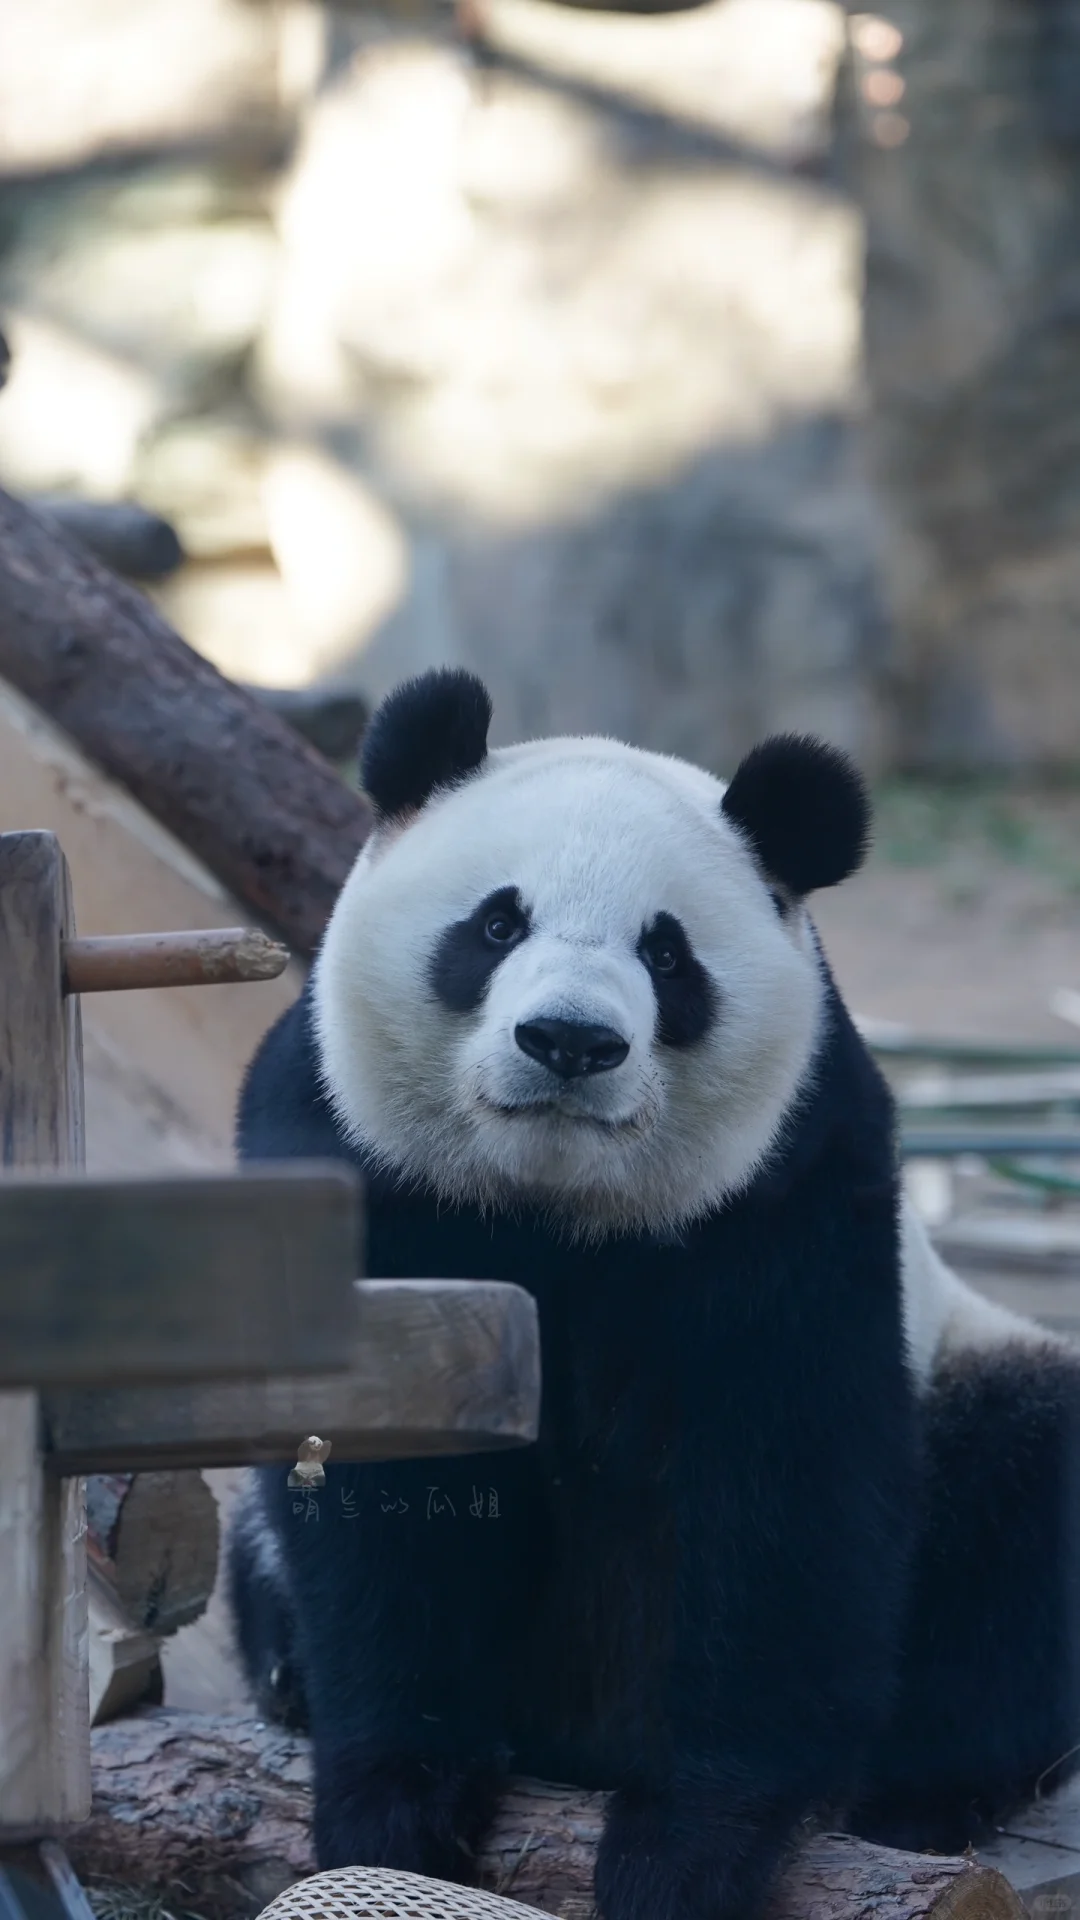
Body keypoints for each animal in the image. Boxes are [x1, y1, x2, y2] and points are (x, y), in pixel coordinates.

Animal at [224, 672, 1076, 1920]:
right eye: (497, 925)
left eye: (668, 956)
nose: (570, 1040)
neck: (554, 1200)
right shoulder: (343, 1142)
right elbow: (386, 1486)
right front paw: (398, 1807)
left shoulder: (787, 1190)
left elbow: (778, 1493)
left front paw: (689, 1847)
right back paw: (288, 1674)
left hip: (965, 1367)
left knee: (1023, 1503)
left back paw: (922, 1797)